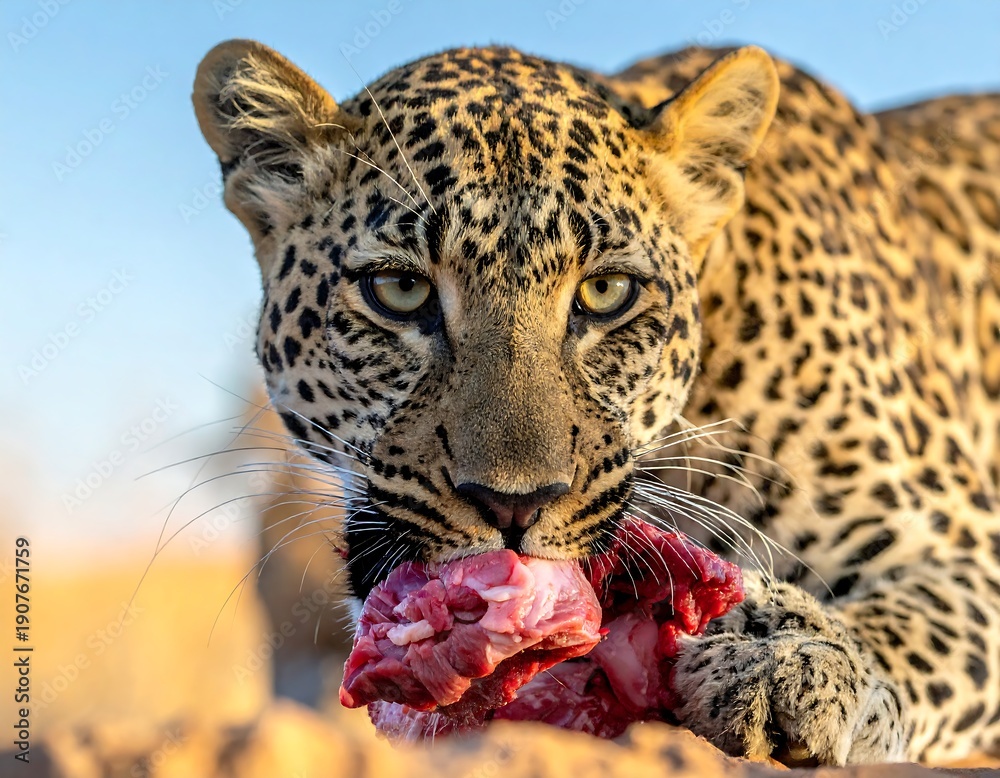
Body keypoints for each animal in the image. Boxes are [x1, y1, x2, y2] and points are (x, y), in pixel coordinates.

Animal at [192, 39, 1000, 766]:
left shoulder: (956, 536)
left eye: (606, 292)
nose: (513, 505)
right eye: (399, 289)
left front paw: (791, 659)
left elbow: (909, 622)